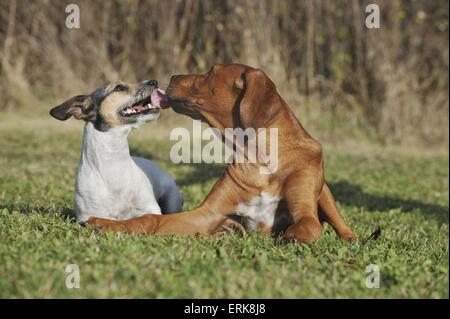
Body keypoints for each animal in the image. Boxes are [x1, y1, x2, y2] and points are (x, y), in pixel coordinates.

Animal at [87, 63, 356, 242]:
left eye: (211, 72)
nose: (171, 76)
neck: (261, 158)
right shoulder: (207, 215)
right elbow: (150, 219)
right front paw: (106, 223)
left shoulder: (304, 212)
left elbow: (307, 225)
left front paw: (293, 237)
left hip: (325, 192)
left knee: (340, 225)